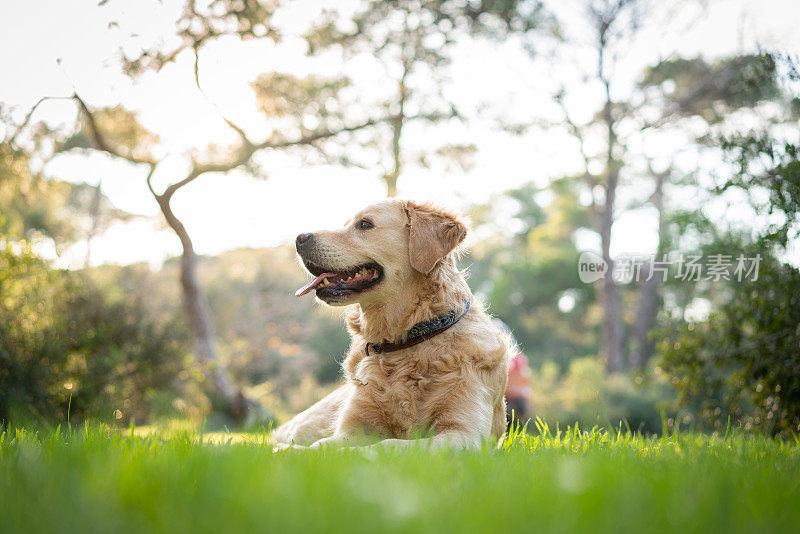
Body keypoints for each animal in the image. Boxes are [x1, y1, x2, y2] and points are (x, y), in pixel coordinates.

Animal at [272, 199, 510, 450]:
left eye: (364, 224)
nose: (299, 238)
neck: (405, 341)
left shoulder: (463, 434)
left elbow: (387, 444)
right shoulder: (349, 428)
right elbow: (322, 446)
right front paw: (290, 452)